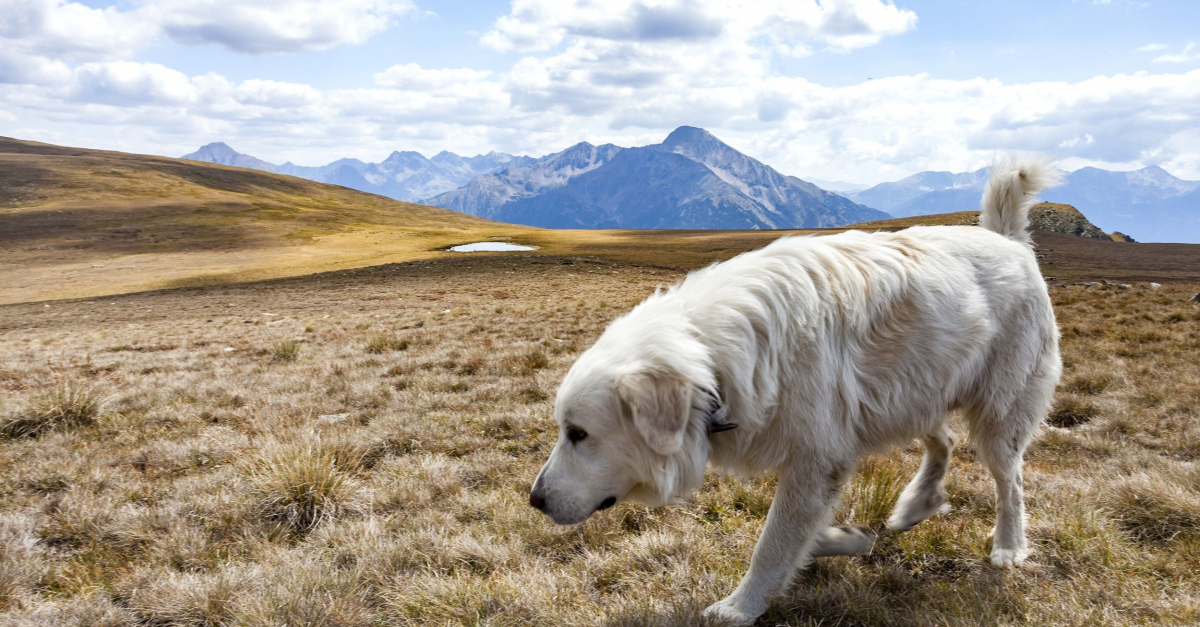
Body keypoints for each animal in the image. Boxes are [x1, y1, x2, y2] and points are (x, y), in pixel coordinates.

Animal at [530, 159, 1065, 619]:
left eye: (578, 434)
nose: (534, 500)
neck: (714, 361)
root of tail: (1007, 239)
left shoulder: (816, 459)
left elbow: (773, 541)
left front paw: (741, 607)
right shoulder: (822, 461)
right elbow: (797, 533)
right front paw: (843, 539)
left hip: (997, 414)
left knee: (1009, 480)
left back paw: (1008, 547)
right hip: (910, 392)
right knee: (944, 442)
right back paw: (917, 505)